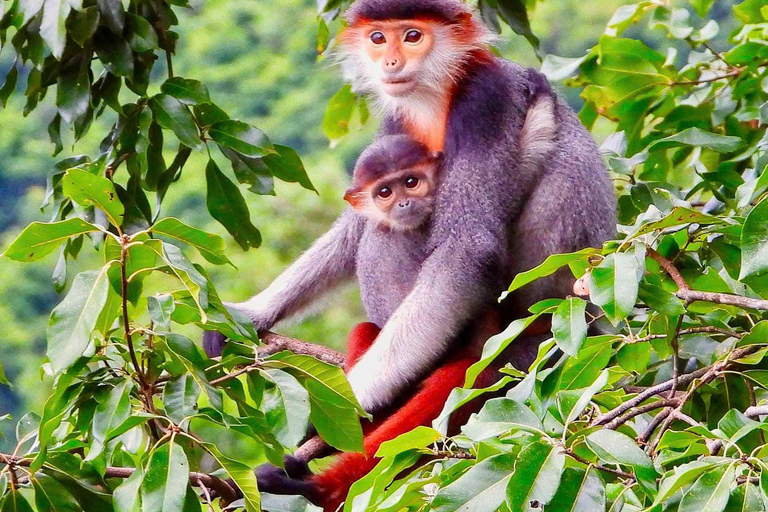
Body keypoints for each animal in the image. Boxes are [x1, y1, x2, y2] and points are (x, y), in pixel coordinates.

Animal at [204, 0, 616, 507]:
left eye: (413, 36)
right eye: (378, 38)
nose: (391, 62)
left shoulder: (487, 102)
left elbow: (467, 248)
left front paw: (349, 404)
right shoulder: (397, 125)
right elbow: (358, 224)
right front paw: (251, 312)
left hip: (538, 340)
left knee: (466, 372)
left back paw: (322, 486)